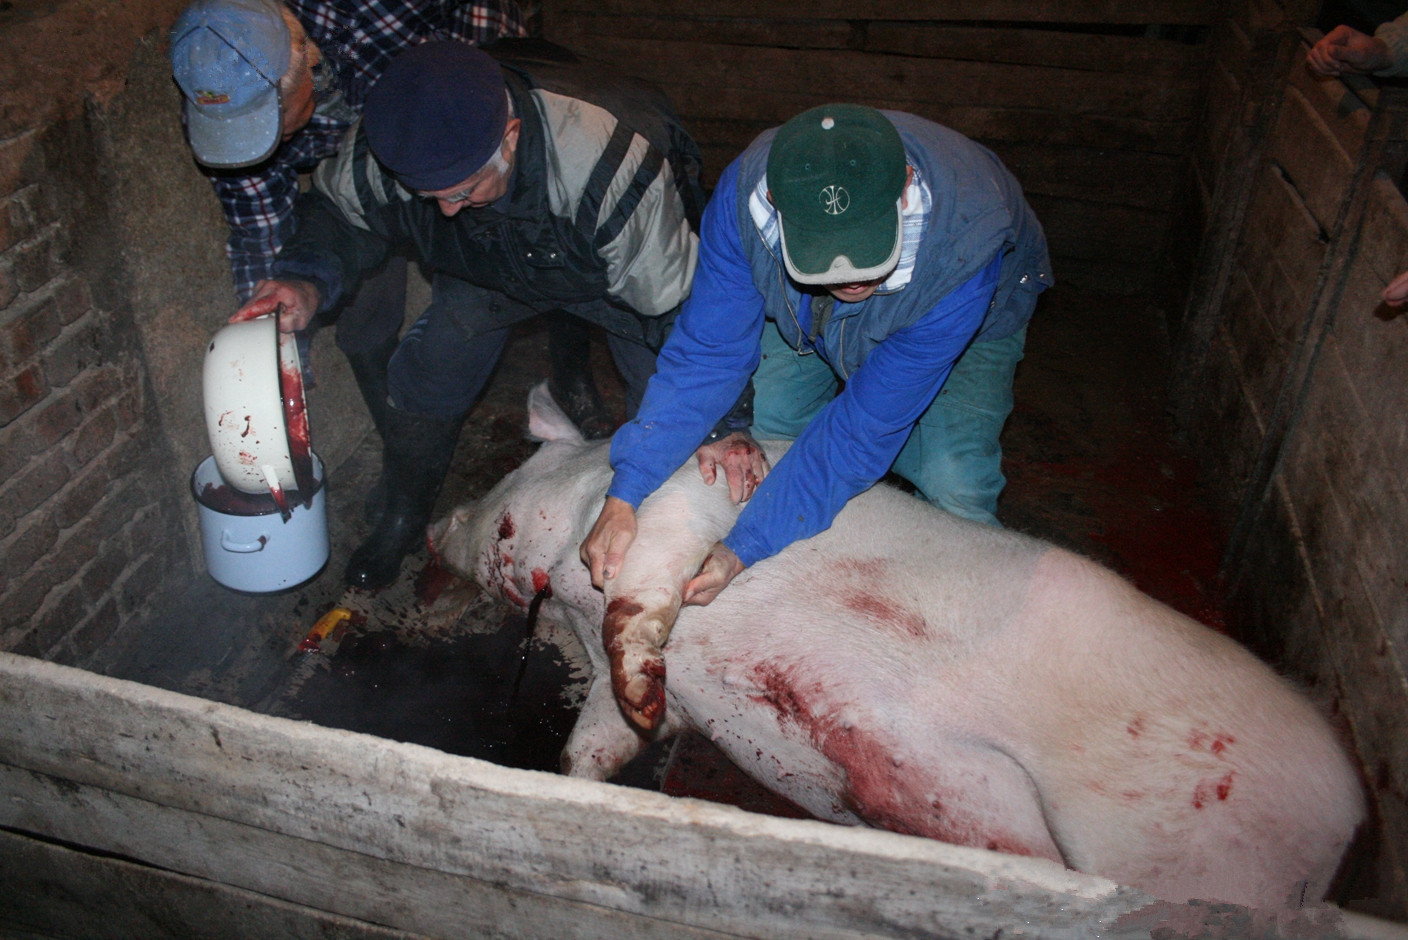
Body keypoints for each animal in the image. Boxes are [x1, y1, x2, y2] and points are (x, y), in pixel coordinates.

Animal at [430, 382, 1362, 911]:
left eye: (504, 493)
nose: (440, 525)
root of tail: (1343, 832)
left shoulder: (685, 502)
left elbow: (643, 592)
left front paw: (639, 679)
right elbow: (598, 742)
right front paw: (598, 762)